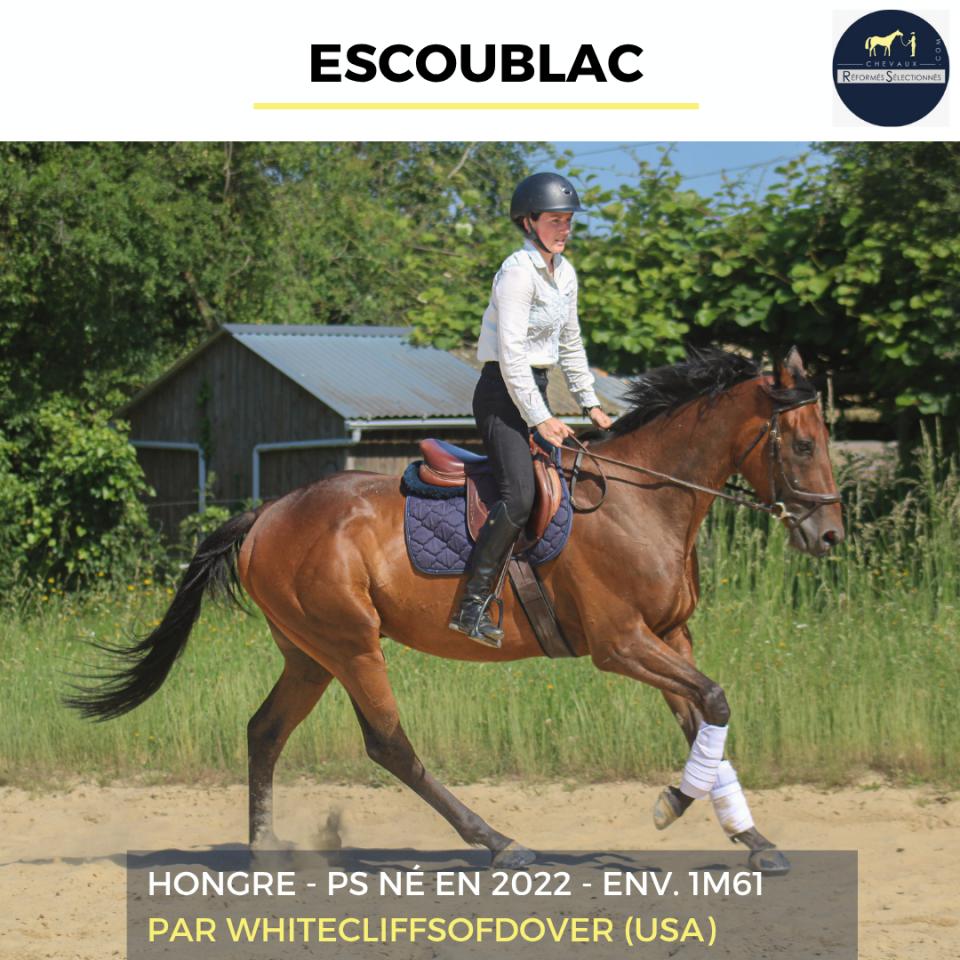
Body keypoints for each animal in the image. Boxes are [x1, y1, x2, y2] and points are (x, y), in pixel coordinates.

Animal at [67, 347, 843, 874]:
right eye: (803, 444)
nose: (830, 536)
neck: (642, 501)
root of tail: (266, 514)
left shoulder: (670, 636)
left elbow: (703, 716)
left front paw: (752, 838)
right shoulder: (621, 644)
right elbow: (713, 701)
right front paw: (674, 804)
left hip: (310, 654)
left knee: (265, 731)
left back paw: (265, 851)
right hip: (351, 645)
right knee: (388, 744)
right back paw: (497, 842)